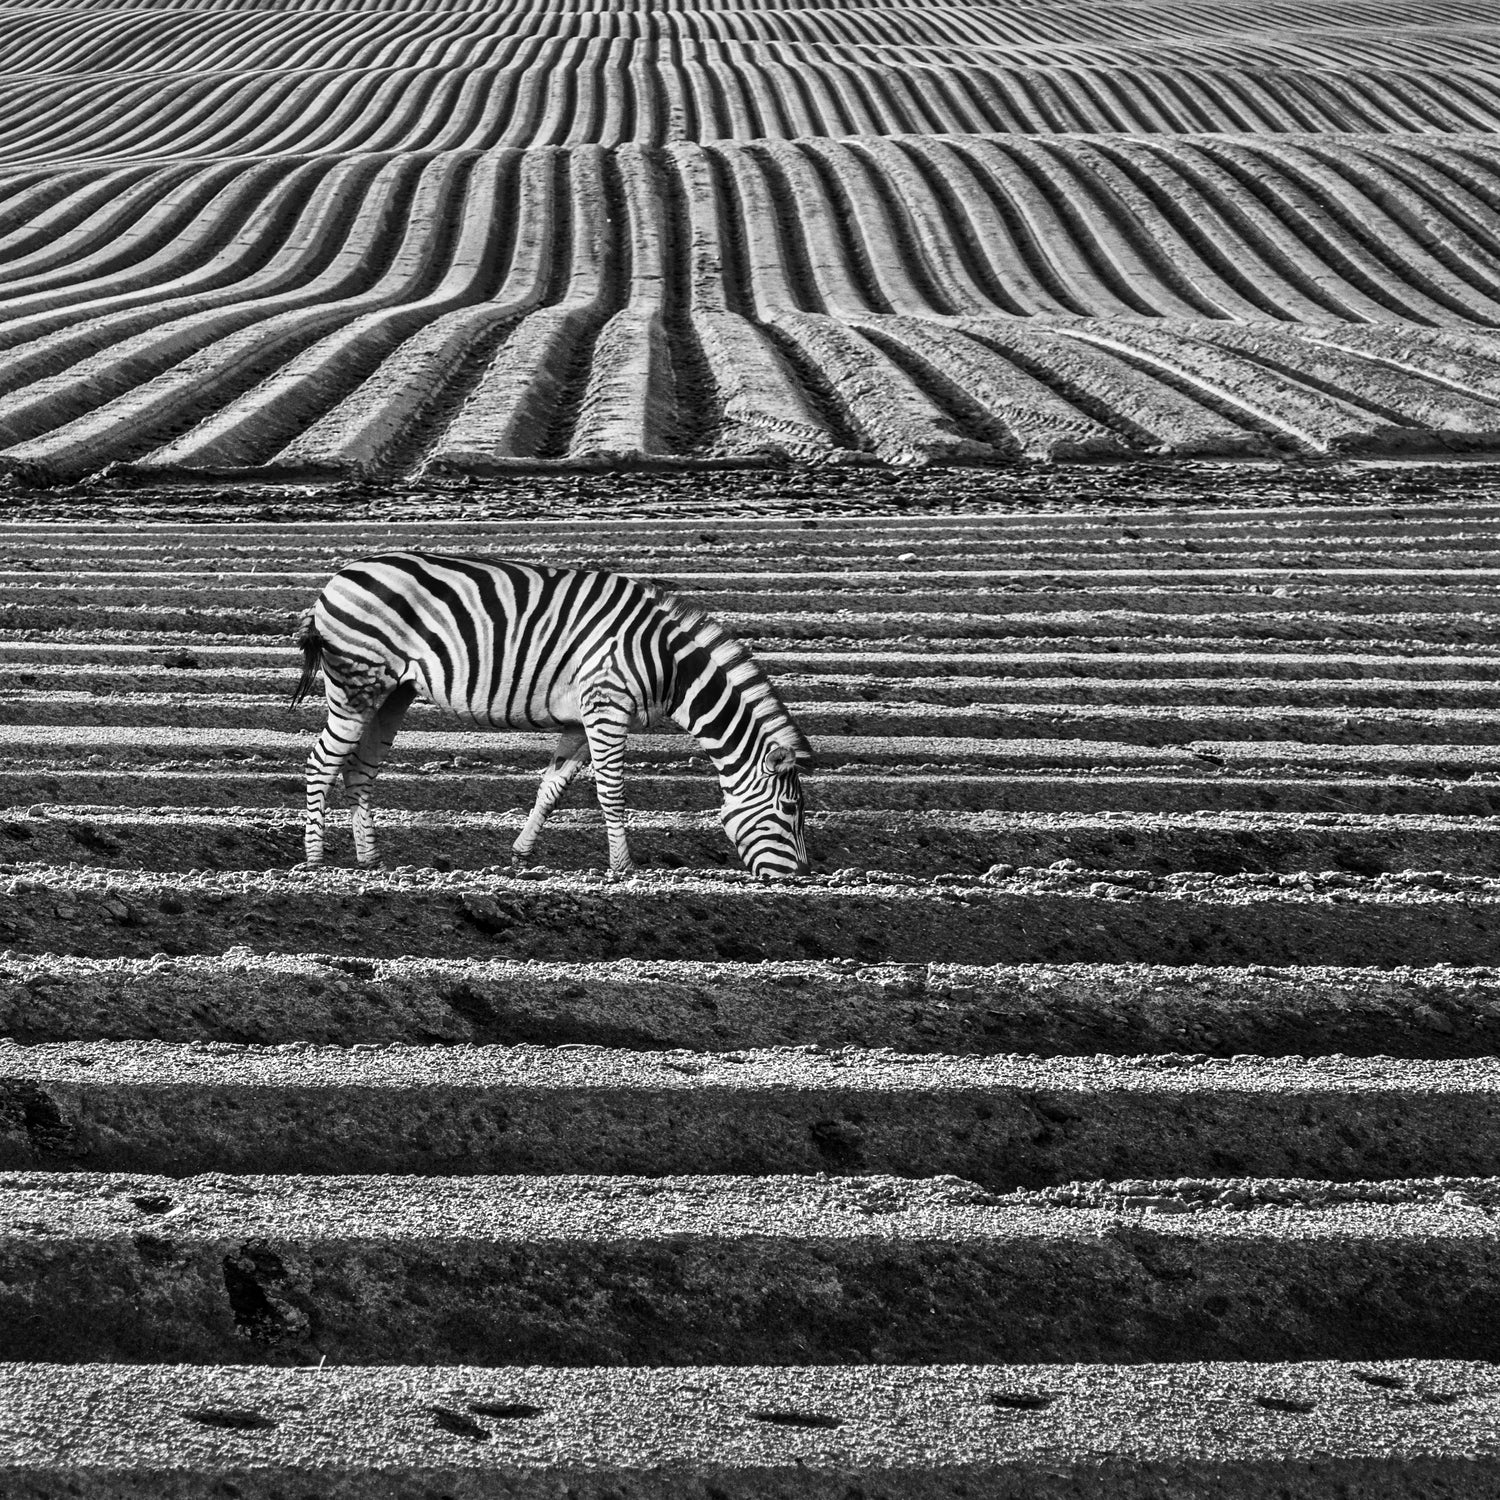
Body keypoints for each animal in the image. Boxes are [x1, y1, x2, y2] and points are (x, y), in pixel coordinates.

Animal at [290, 551, 813, 879]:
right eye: (790, 810)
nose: (801, 878)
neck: (669, 665)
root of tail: (336, 578)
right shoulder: (607, 705)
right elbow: (612, 793)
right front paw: (624, 869)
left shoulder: (581, 721)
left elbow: (552, 788)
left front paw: (522, 857)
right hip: (357, 683)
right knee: (321, 762)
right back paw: (315, 861)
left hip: (391, 692)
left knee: (358, 769)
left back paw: (370, 861)